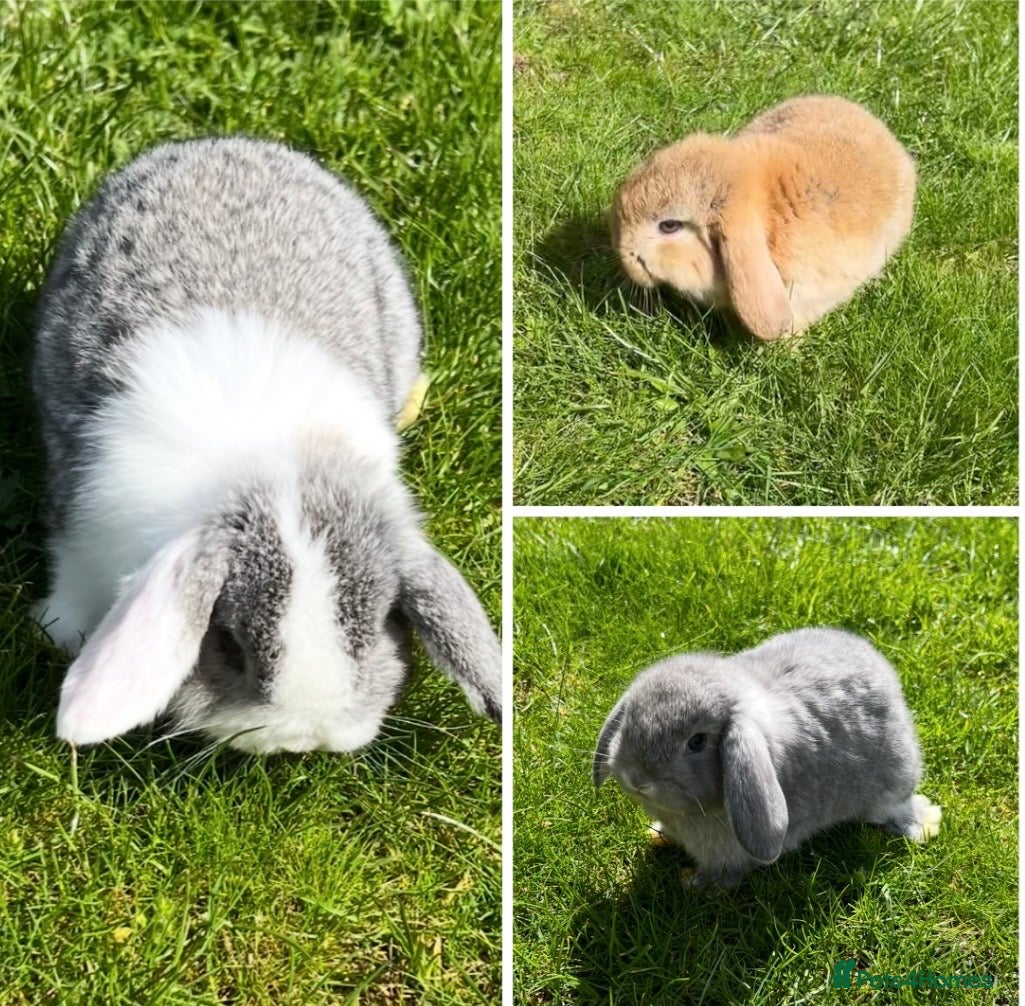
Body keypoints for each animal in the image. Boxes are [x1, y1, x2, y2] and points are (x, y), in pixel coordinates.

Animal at [33, 136, 501, 754]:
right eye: (230, 644)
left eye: (377, 628)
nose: (304, 738)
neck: (277, 467)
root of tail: (226, 143)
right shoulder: (79, 514)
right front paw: (62, 632)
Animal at [593, 627, 941, 887]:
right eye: (630, 718)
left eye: (697, 742)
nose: (637, 778)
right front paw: (657, 835)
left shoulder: (728, 854)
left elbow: (725, 874)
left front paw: (692, 883)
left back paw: (924, 824)